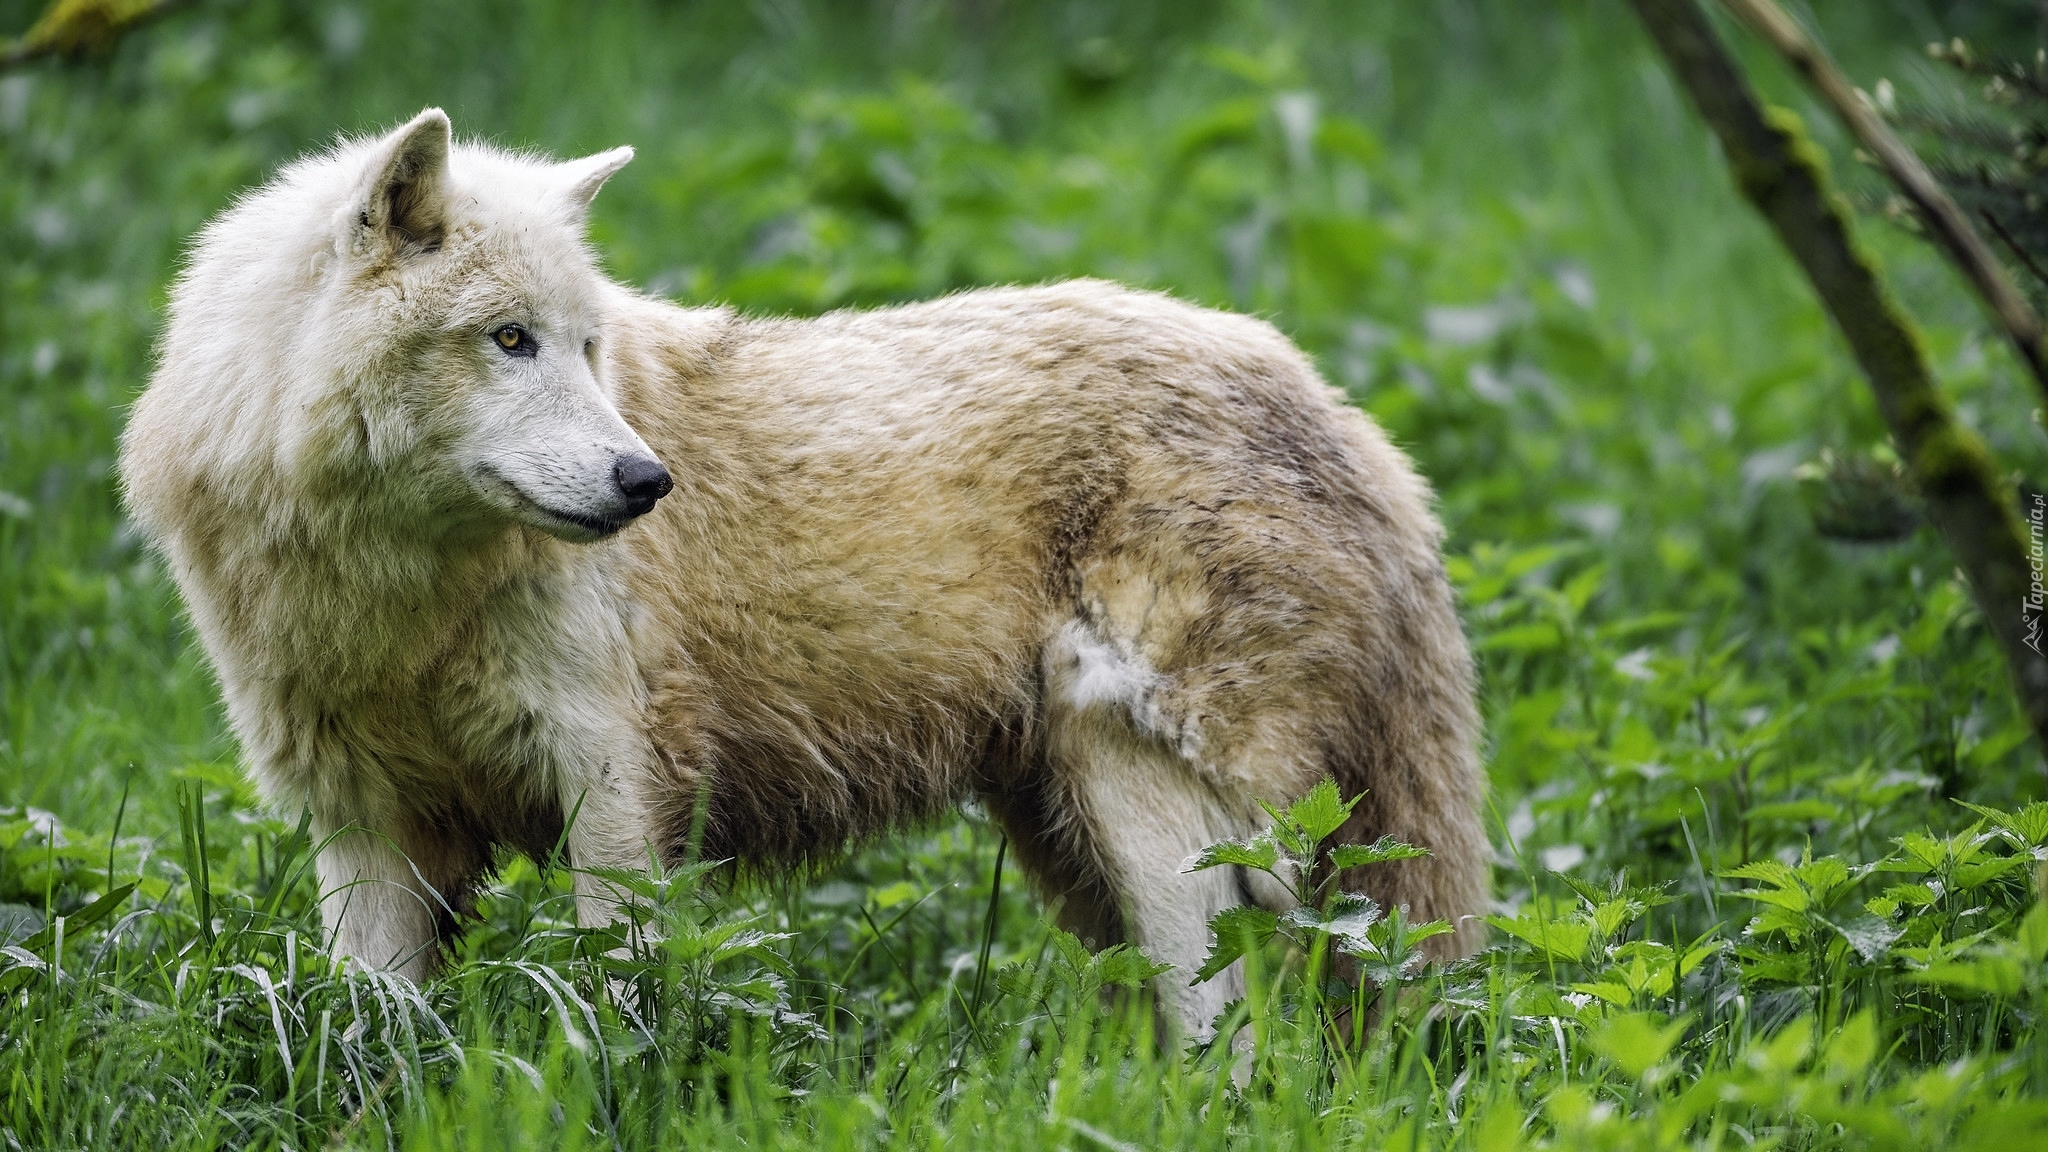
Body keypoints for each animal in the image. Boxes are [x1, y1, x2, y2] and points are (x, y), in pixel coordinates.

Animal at [116, 112, 1490, 1037]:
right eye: (508, 341)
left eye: (585, 346)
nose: (645, 483)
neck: (399, 595)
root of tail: (1356, 426)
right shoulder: (363, 822)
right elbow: (378, 1032)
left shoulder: (612, 780)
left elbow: (614, 1002)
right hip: (1074, 844)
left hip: (1153, 814)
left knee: (1238, 1038)